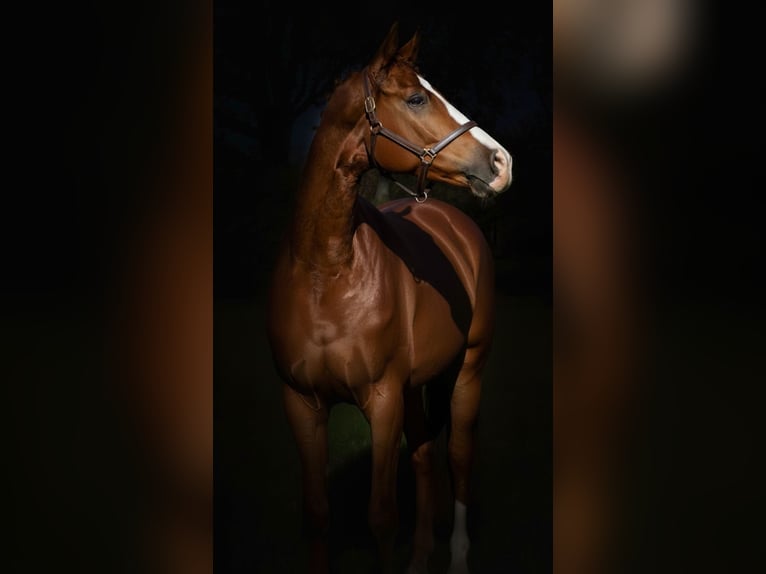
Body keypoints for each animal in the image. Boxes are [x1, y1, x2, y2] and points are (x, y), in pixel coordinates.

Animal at [266, 23, 513, 573]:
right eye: (417, 98)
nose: (502, 162)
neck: (326, 273)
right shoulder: (302, 405)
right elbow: (318, 514)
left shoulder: (381, 400)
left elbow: (381, 517)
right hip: (415, 387)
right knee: (422, 456)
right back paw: (421, 558)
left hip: (467, 372)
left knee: (457, 458)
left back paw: (456, 558)